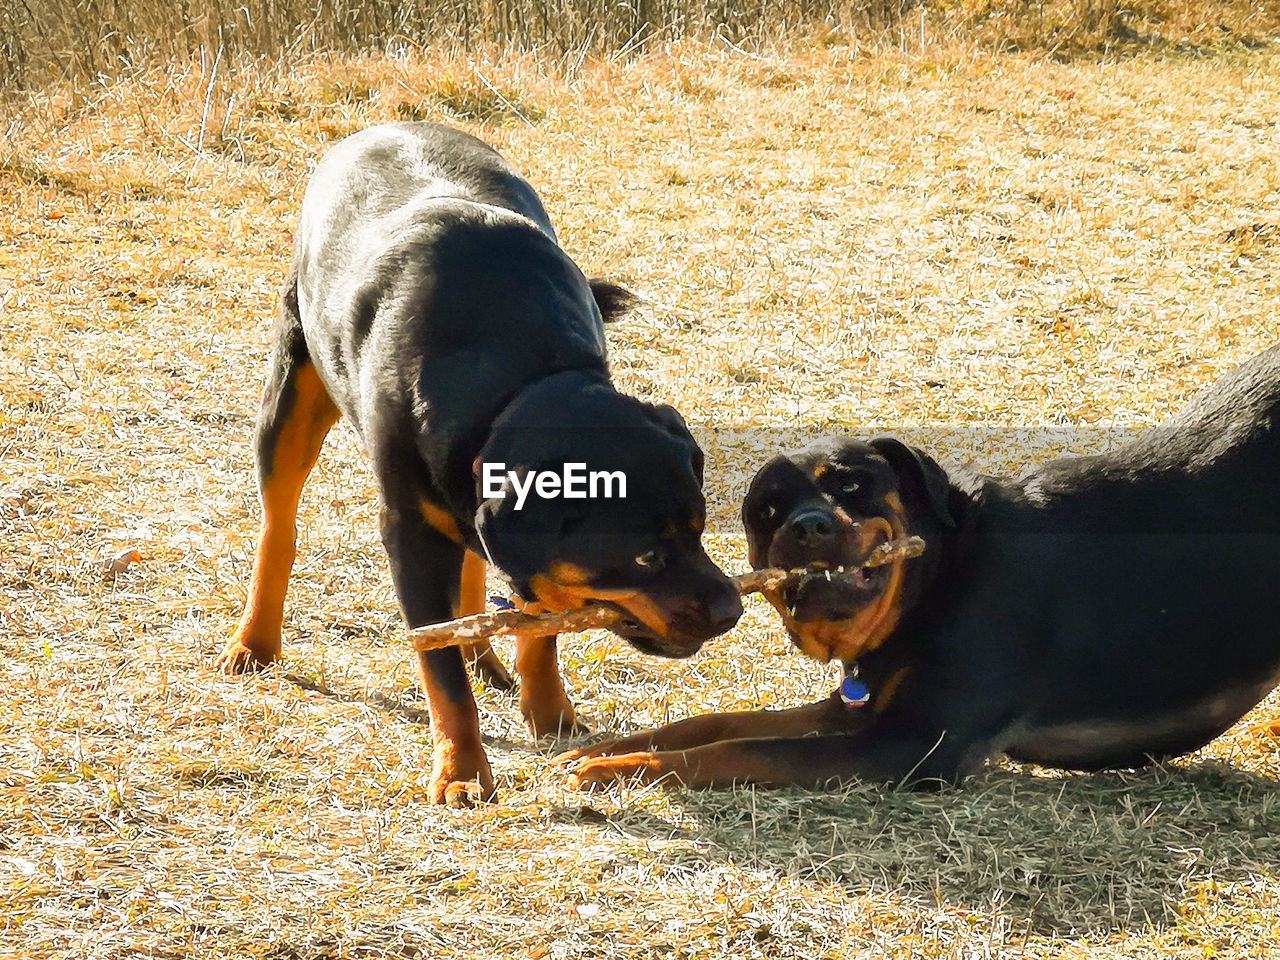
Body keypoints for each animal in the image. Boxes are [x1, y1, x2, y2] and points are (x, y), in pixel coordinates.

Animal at [218, 124, 742, 808]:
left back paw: (483, 655)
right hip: (291, 391)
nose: (732, 608)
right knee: (279, 525)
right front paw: (463, 770)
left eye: (702, 532)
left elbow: (540, 625)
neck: (513, 373)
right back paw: (255, 640)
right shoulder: (410, 535)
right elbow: (440, 672)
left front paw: (550, 716)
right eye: (646, 556)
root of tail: (376, 126)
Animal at [568, 345, 1280, 788]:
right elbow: (719, 724)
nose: (807, 527)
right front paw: (609, 748)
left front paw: (617, 772)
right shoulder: (856, 711)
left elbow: (737, 749)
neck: (939, 581)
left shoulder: (907, 744)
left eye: (851, 484)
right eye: (767, 510)